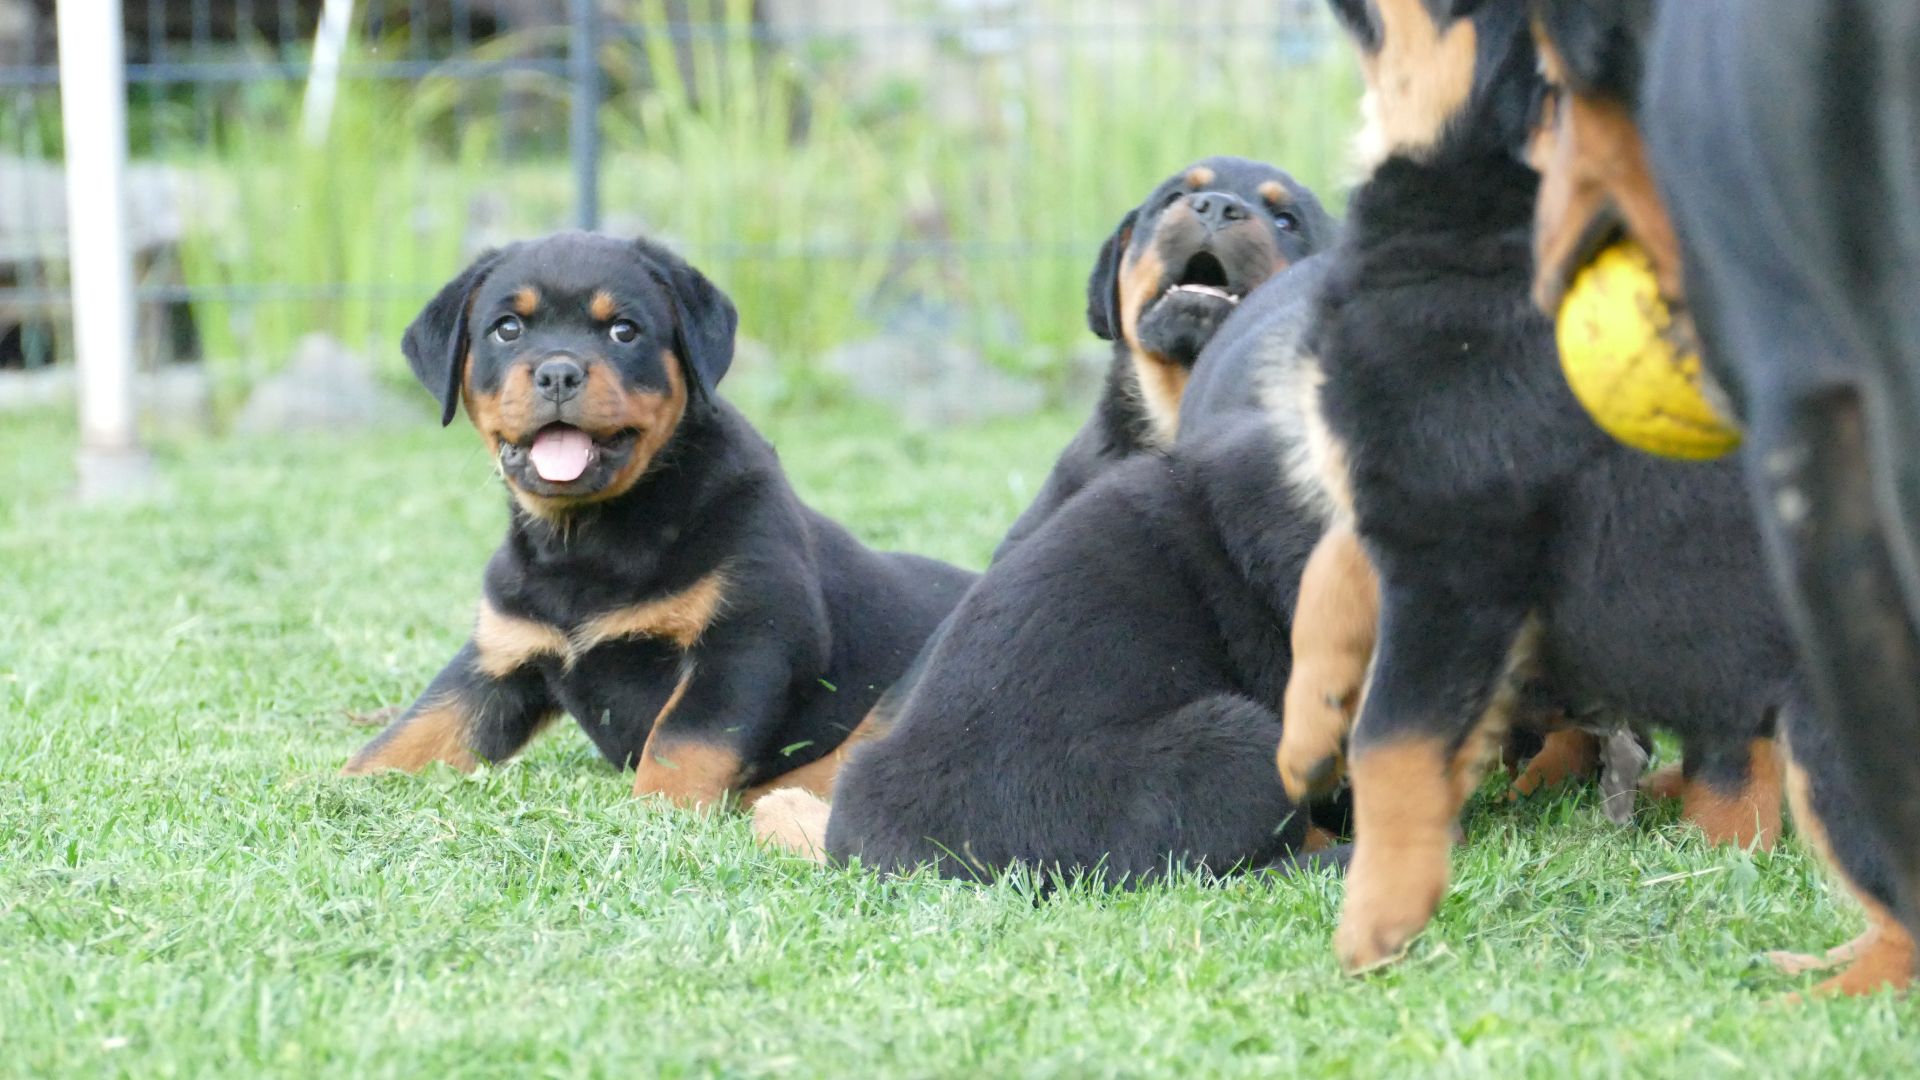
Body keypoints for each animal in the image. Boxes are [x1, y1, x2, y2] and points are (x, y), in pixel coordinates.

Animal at [341, 233, 974, 808]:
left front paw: (656, 815)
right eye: (507, 329)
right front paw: (330, 788)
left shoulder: (747, 640)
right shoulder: (499, 655)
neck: (585, 537)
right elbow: (417, 730)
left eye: (624, 330)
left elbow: (681, 743)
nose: (558, 374)